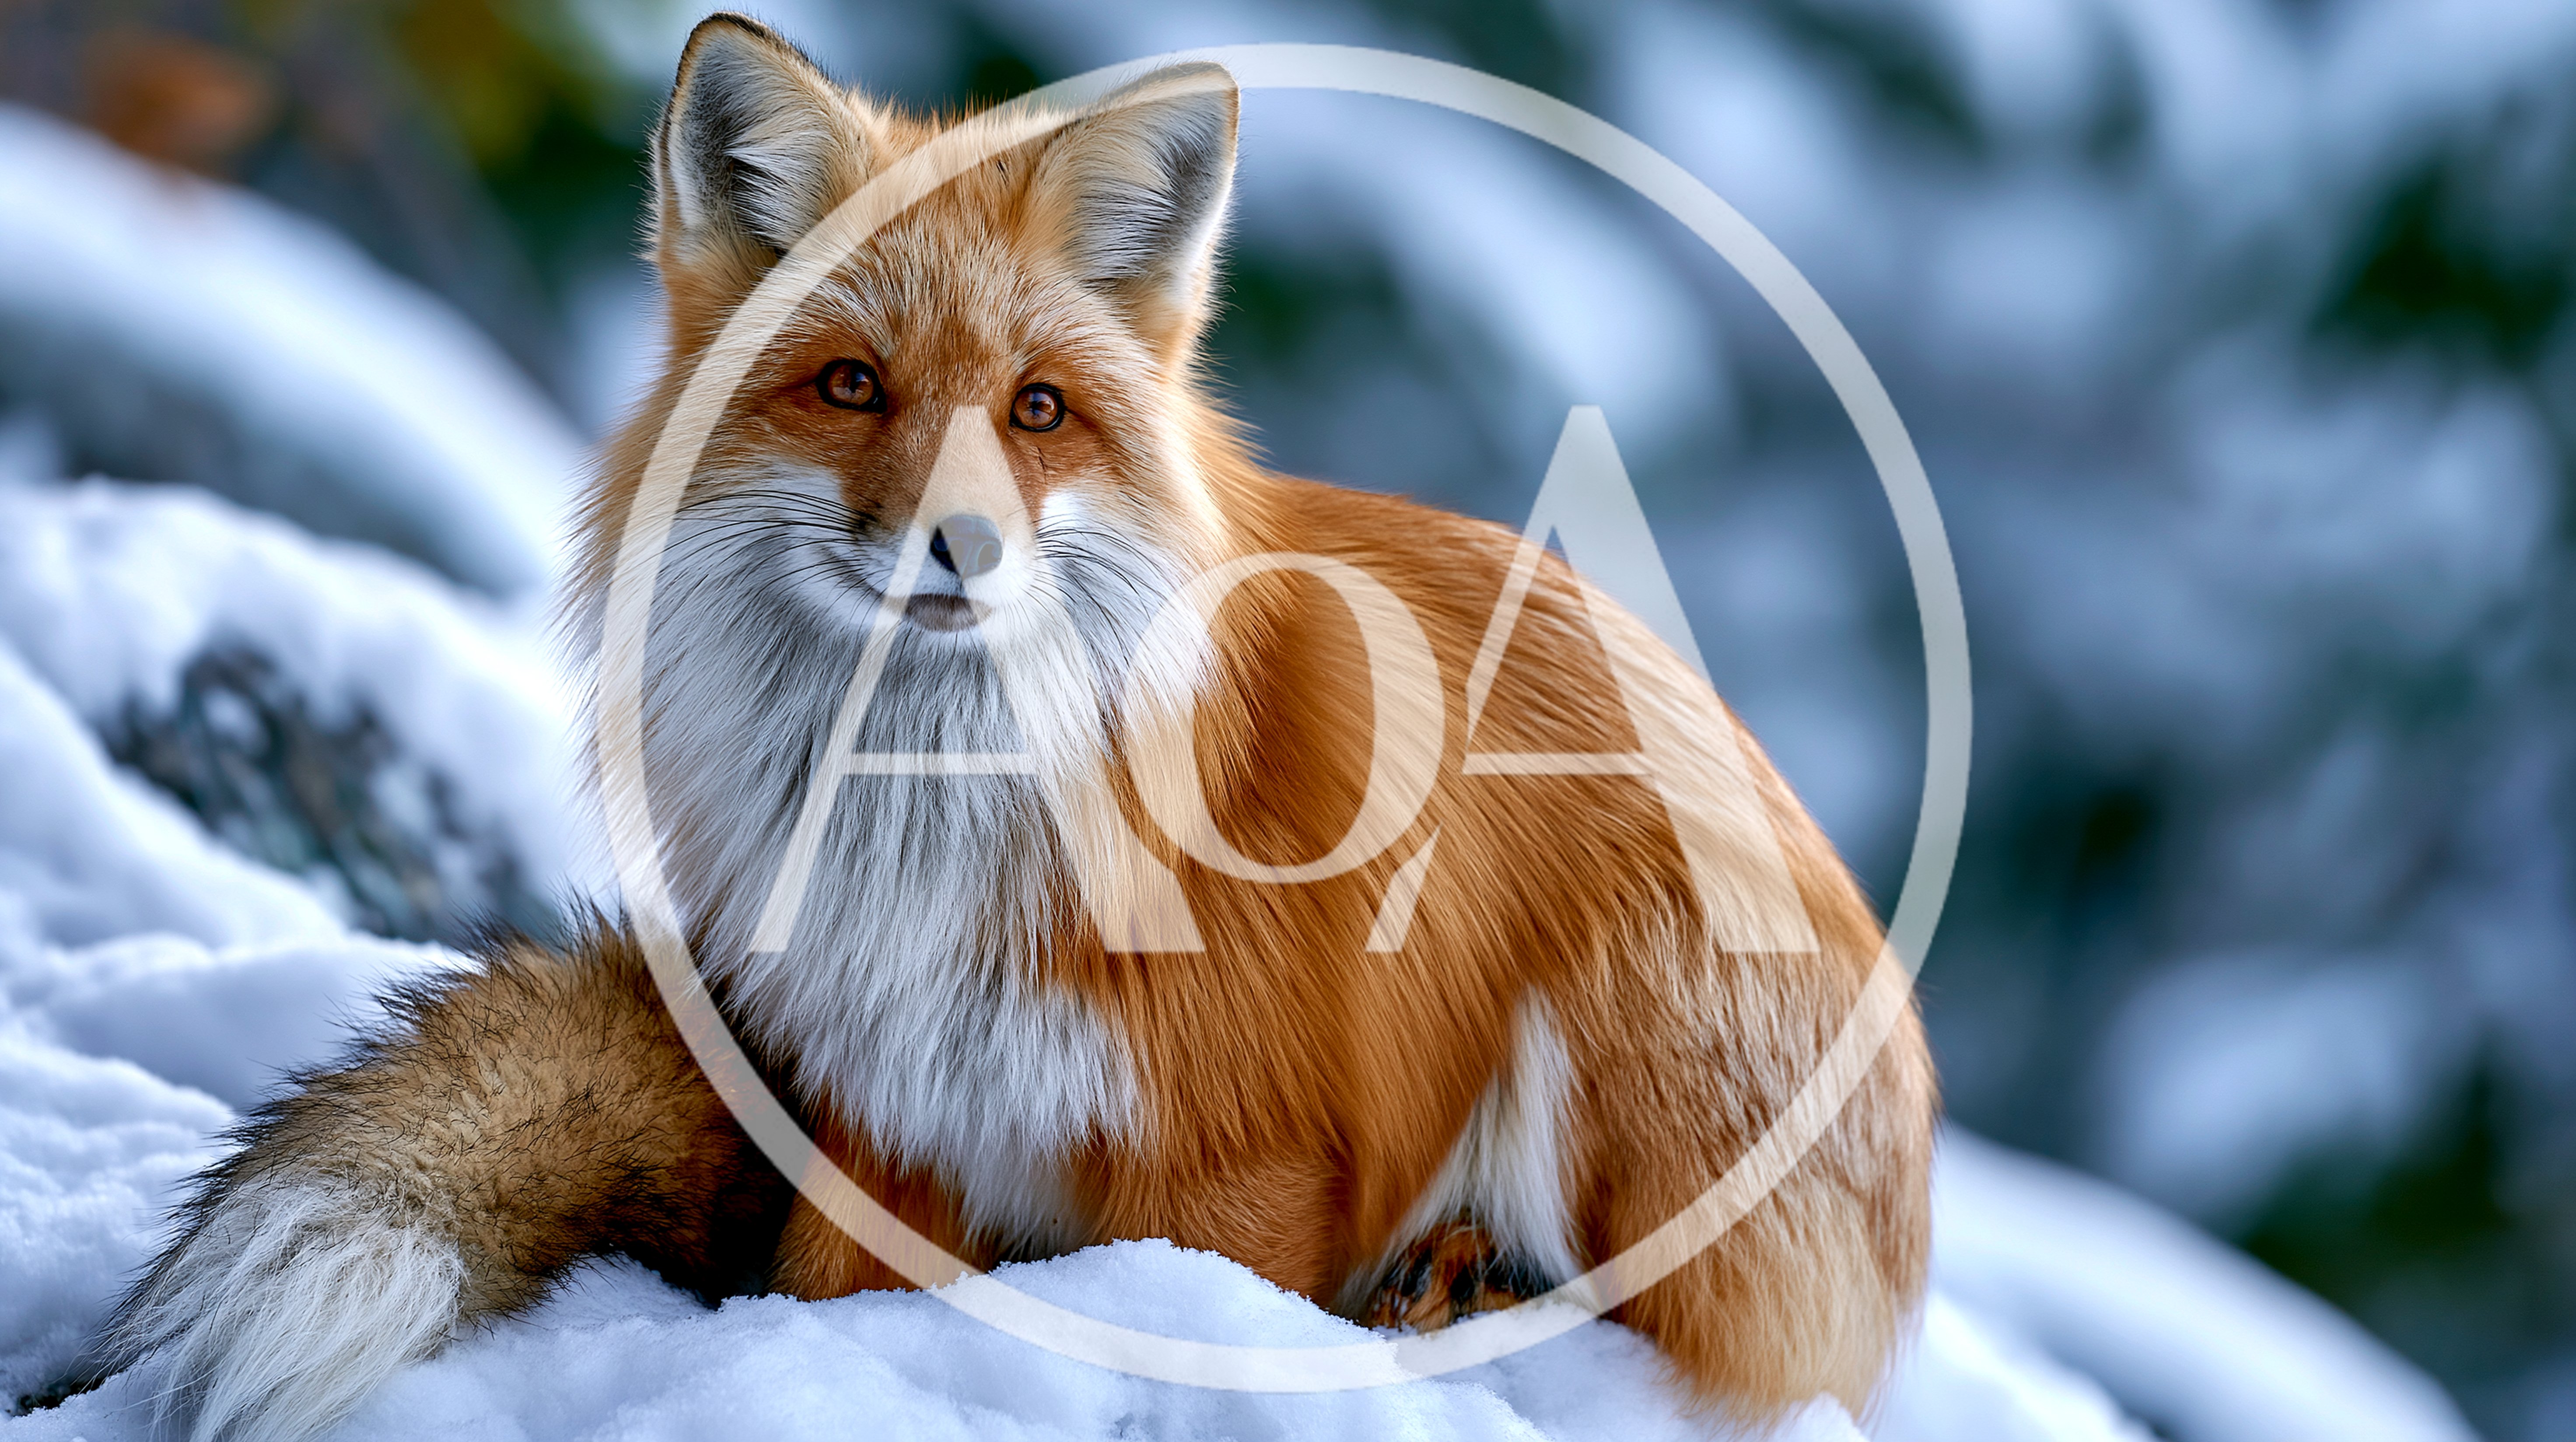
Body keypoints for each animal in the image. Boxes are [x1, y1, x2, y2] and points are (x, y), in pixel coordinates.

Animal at [99, 13, 1934, 1441]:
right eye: (851, 384)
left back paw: (1461, 1293)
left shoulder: (1242, 1156)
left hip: (1628, 1000)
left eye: (1038, 410)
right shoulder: (881, 1120)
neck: (937, 827)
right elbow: (819, 1300)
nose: (957, 541)